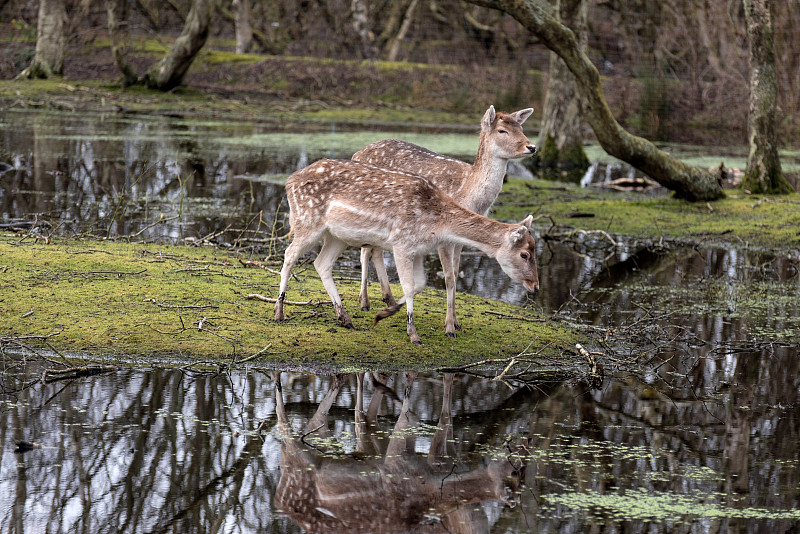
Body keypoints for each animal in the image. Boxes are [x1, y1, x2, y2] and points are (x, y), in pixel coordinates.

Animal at [272, 158, 540, 348]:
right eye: (525, 254)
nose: (536, 286)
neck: (436, 224)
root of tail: (289, 181)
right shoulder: (402, 243)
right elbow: (410, 287)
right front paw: (414, 335)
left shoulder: (419, 250)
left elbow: (420, 284)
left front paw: (383, 314)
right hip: (307, 220)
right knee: (289, 255)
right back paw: (279, 313)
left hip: (337, 236)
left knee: (321, 263)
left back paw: (345, 318)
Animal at [352, 105, 536, 340]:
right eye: (502, 130)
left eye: (521, 127)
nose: (531, 147)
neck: (469, 195)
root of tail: (357, 153)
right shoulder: (444, 237)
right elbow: (448, 277)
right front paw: (449, 328)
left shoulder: (460, 240)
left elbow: (456, 275)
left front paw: (457, 323)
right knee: (365, 250)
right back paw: (364, 302)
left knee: (375, 249)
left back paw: (388, 298)